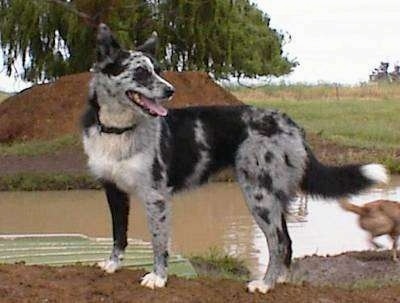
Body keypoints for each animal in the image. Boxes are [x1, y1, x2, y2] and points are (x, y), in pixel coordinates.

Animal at [82, 25, 388, 296]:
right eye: (141, 71)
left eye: (159, 70)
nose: (170, 91)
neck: (118, 130)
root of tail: (290, 123)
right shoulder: (113, 190)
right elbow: (118, 234)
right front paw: (112, 265)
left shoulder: (155, 196)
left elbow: (159, 241)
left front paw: (158, 277)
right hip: (272, 197)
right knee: (287, 241)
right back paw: (280, 280)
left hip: (258, 196)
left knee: (278, 242)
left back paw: (264, 285)